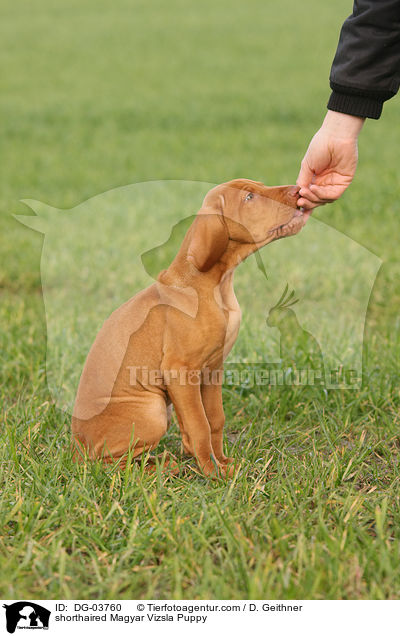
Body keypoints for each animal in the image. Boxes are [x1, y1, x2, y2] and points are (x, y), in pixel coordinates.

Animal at [72, 179, 310, 476]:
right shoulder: (180, 371)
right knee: (111, 462)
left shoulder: (212, 368)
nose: (298, 190)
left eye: (261, 185)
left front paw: (221, 460)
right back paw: (160, 467)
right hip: (152, 411)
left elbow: (215, 419)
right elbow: (199, 425)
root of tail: (77, 448)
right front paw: (212, 471)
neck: (214, 286)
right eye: (249, 197)